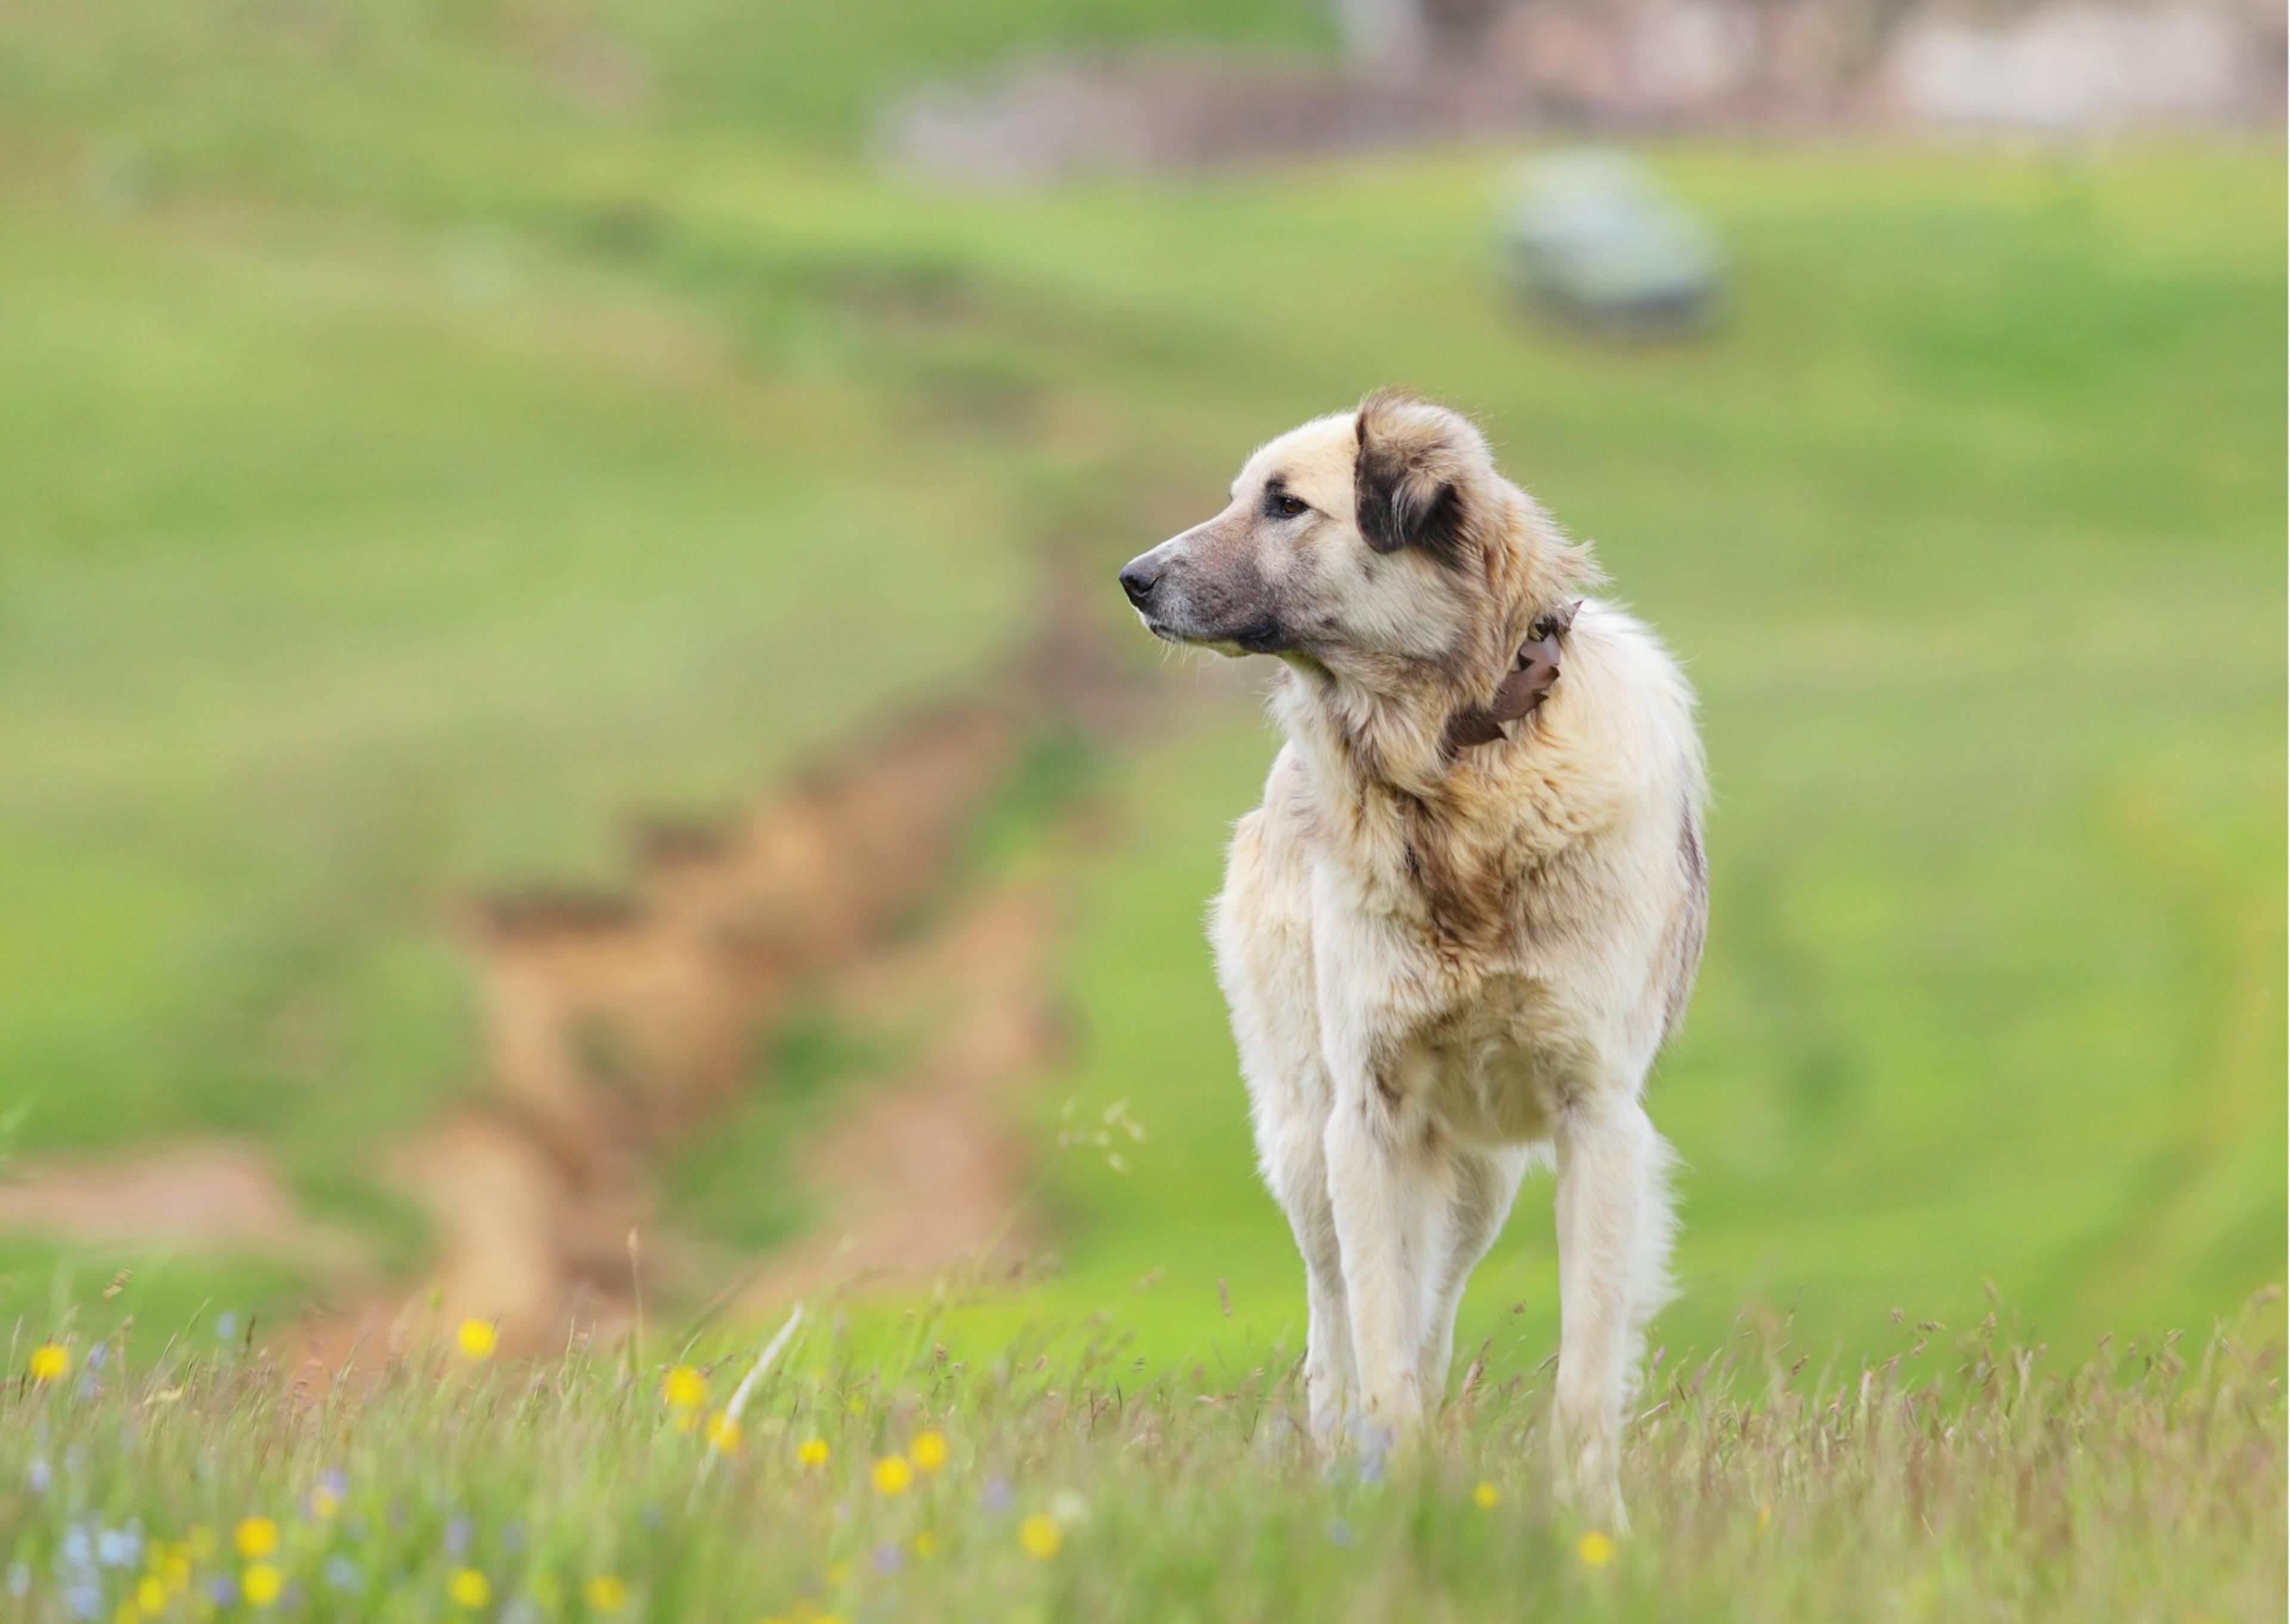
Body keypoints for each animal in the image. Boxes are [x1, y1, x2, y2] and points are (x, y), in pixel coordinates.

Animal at [1117, 391, 1713, 1521]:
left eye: (1285, 504)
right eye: (1239, 495)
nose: (1132, 578)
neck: (1454, 770)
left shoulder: (1598, 1117)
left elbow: (1584, 1367)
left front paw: (1592, 1525)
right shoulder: (1370, 1116)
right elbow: (1378, 1349)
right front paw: (1386, 1502)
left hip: (1481, 1181)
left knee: (1433, 1313)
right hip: (1311, 1144)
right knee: (1337, 1331)